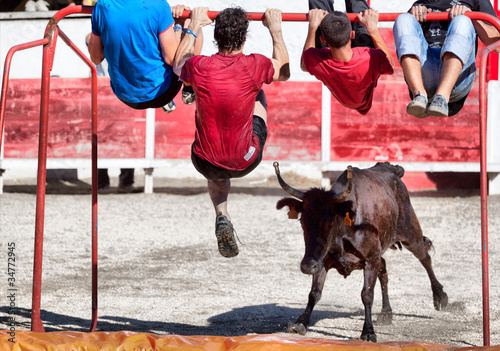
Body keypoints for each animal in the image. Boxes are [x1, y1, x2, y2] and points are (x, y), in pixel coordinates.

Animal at [274, 162, 450, 344]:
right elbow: (314, 293)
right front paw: (300, 323)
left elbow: (367, 295)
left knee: (425, 257)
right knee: (384, 268)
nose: (308, 266)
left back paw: (440, 297)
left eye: (330, 221)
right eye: (302, 221)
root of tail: (392, 168)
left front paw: (368, 332)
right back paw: (386, 313)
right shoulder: (322, 261)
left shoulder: (370, 260)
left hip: (410, 232)